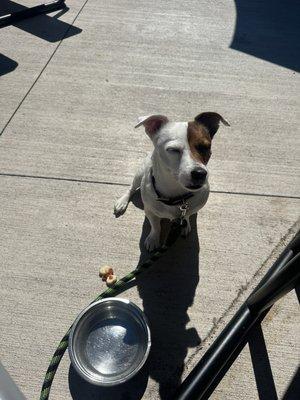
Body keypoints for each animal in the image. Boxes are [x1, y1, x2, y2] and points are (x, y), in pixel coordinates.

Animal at [113, 111, 229, 250]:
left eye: (205, 147)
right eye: (173, 150)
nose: (200, 173)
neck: (177, 197)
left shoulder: (190, 209)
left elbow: (187, 216)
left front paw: (185, 225)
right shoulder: (150, 212)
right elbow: (155, 226)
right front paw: (153, 239)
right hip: (139, 174)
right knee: (131, 188)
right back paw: (122, 202)